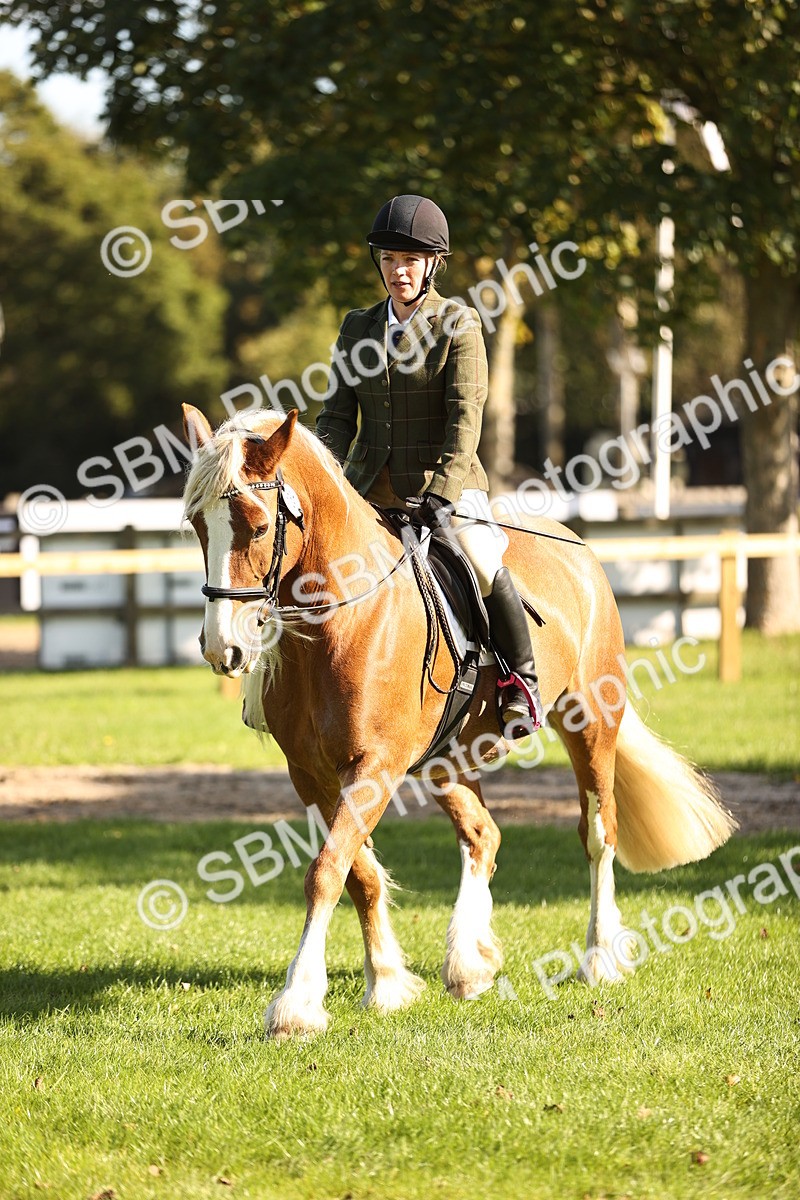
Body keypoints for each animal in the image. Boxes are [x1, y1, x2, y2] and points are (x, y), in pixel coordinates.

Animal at [181, 403, 736, 1040]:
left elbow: (326, 870)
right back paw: (469, 963)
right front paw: (387, 985)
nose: (221, 647)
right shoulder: (312, 773)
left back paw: (598, 958)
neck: (341, 621)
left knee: (599, 834)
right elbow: (357, 872)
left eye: (256, 525)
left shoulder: (374, 766)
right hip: (449, 758)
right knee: (482, 834)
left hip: (590, 722)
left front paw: (296, 1004)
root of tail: (577, 549)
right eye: (197, 526)